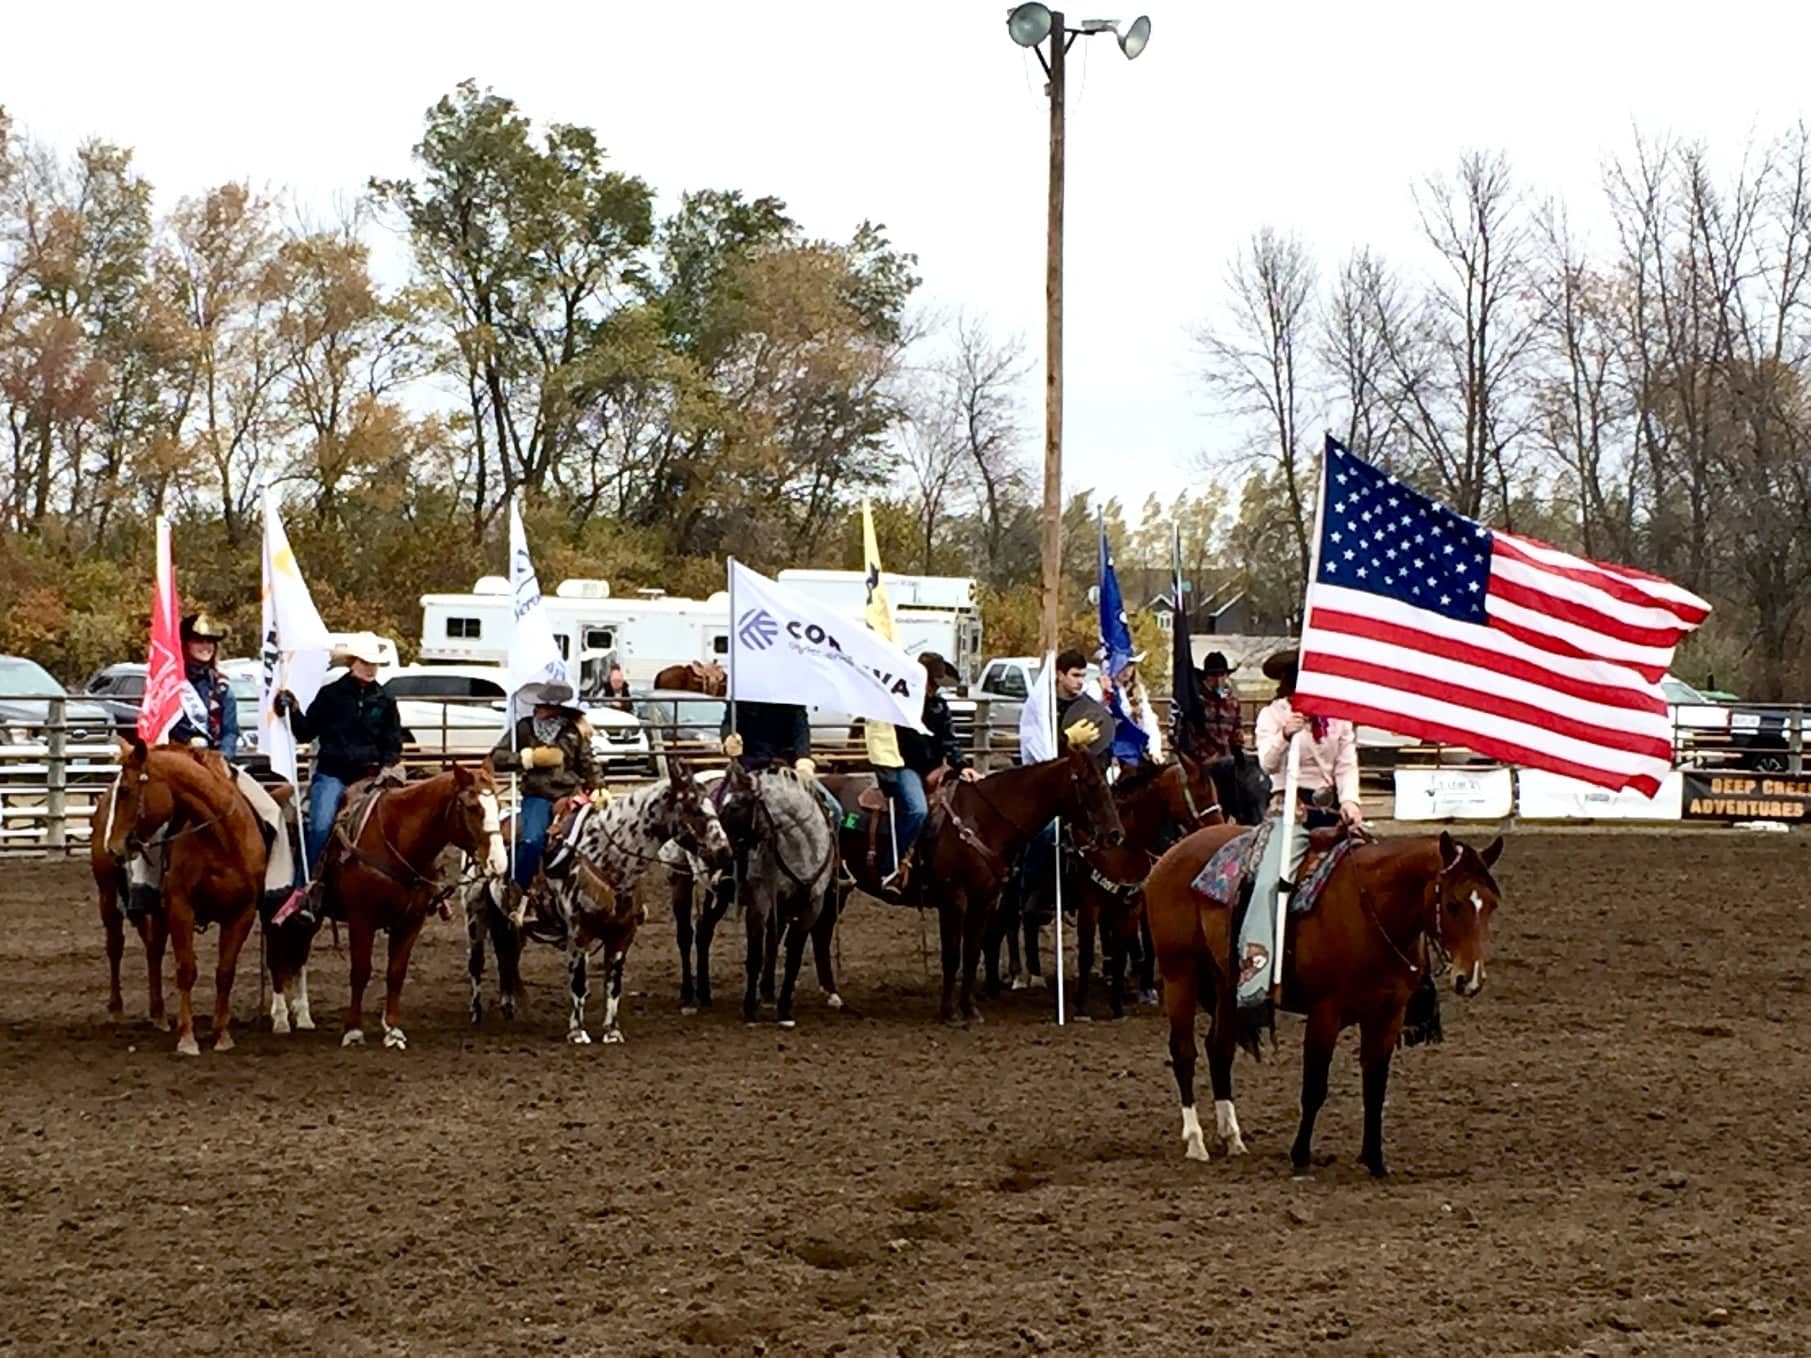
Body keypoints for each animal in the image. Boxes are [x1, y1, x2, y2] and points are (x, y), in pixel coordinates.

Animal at [100, 745, 269, 1050]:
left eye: (127, 790)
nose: (113, 847)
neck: (223, 838)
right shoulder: (181, 908)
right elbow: (186, 969)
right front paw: (187, 1038)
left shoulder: (243, 913)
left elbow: (225, 972)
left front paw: (221, 1035)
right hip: (108, 896)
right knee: (115, 946)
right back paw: (116, 1009)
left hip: (157, 912)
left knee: (153, 950)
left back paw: (158, 1015)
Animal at [322, 767, 510, 1050]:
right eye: (471, 806)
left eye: (497, 804)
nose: (499, 862)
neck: (395, 839)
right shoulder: (361, 920)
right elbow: (360, 972)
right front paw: (353, 1031)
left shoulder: (411, 921)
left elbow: (396, 973)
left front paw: (393, 1030)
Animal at [463, 767, 731, 1042]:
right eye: (693, 807)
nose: (724, 852)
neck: (607, 858)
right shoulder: (579, 932)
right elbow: (579, 981)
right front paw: (577, 1032)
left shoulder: (623, 934)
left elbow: (613, 983)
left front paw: (612, 1031)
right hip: (475, 909)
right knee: (477, 962)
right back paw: (476, 1013)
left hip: (508, 920)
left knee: (507, 954)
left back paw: (508, 1006)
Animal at [829, 749, 1122, 1028]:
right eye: (1090, 783)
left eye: (1108, 783)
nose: (1115, 834)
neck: (984, 819)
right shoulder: (954, 900)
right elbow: (952, 956)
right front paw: (949, 1013)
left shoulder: (984, 900)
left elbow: (971, 953)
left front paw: (970, 1010)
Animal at [1144, 818, 1499, 1180]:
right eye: (1453, 903)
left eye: (1491, 905)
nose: (1470, 979)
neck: (1370, 908)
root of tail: (1170, 855)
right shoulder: (1325, 1013)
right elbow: (1314, 1088)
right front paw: (1301, 1156)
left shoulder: (1387, 1016)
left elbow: (1375, 1088)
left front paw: (1375, 1160)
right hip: (1180, 974)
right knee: (1184, 1053)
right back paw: (1195, 1141)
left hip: (1225, 984)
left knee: (1219, 1050)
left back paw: (1232, 1137)